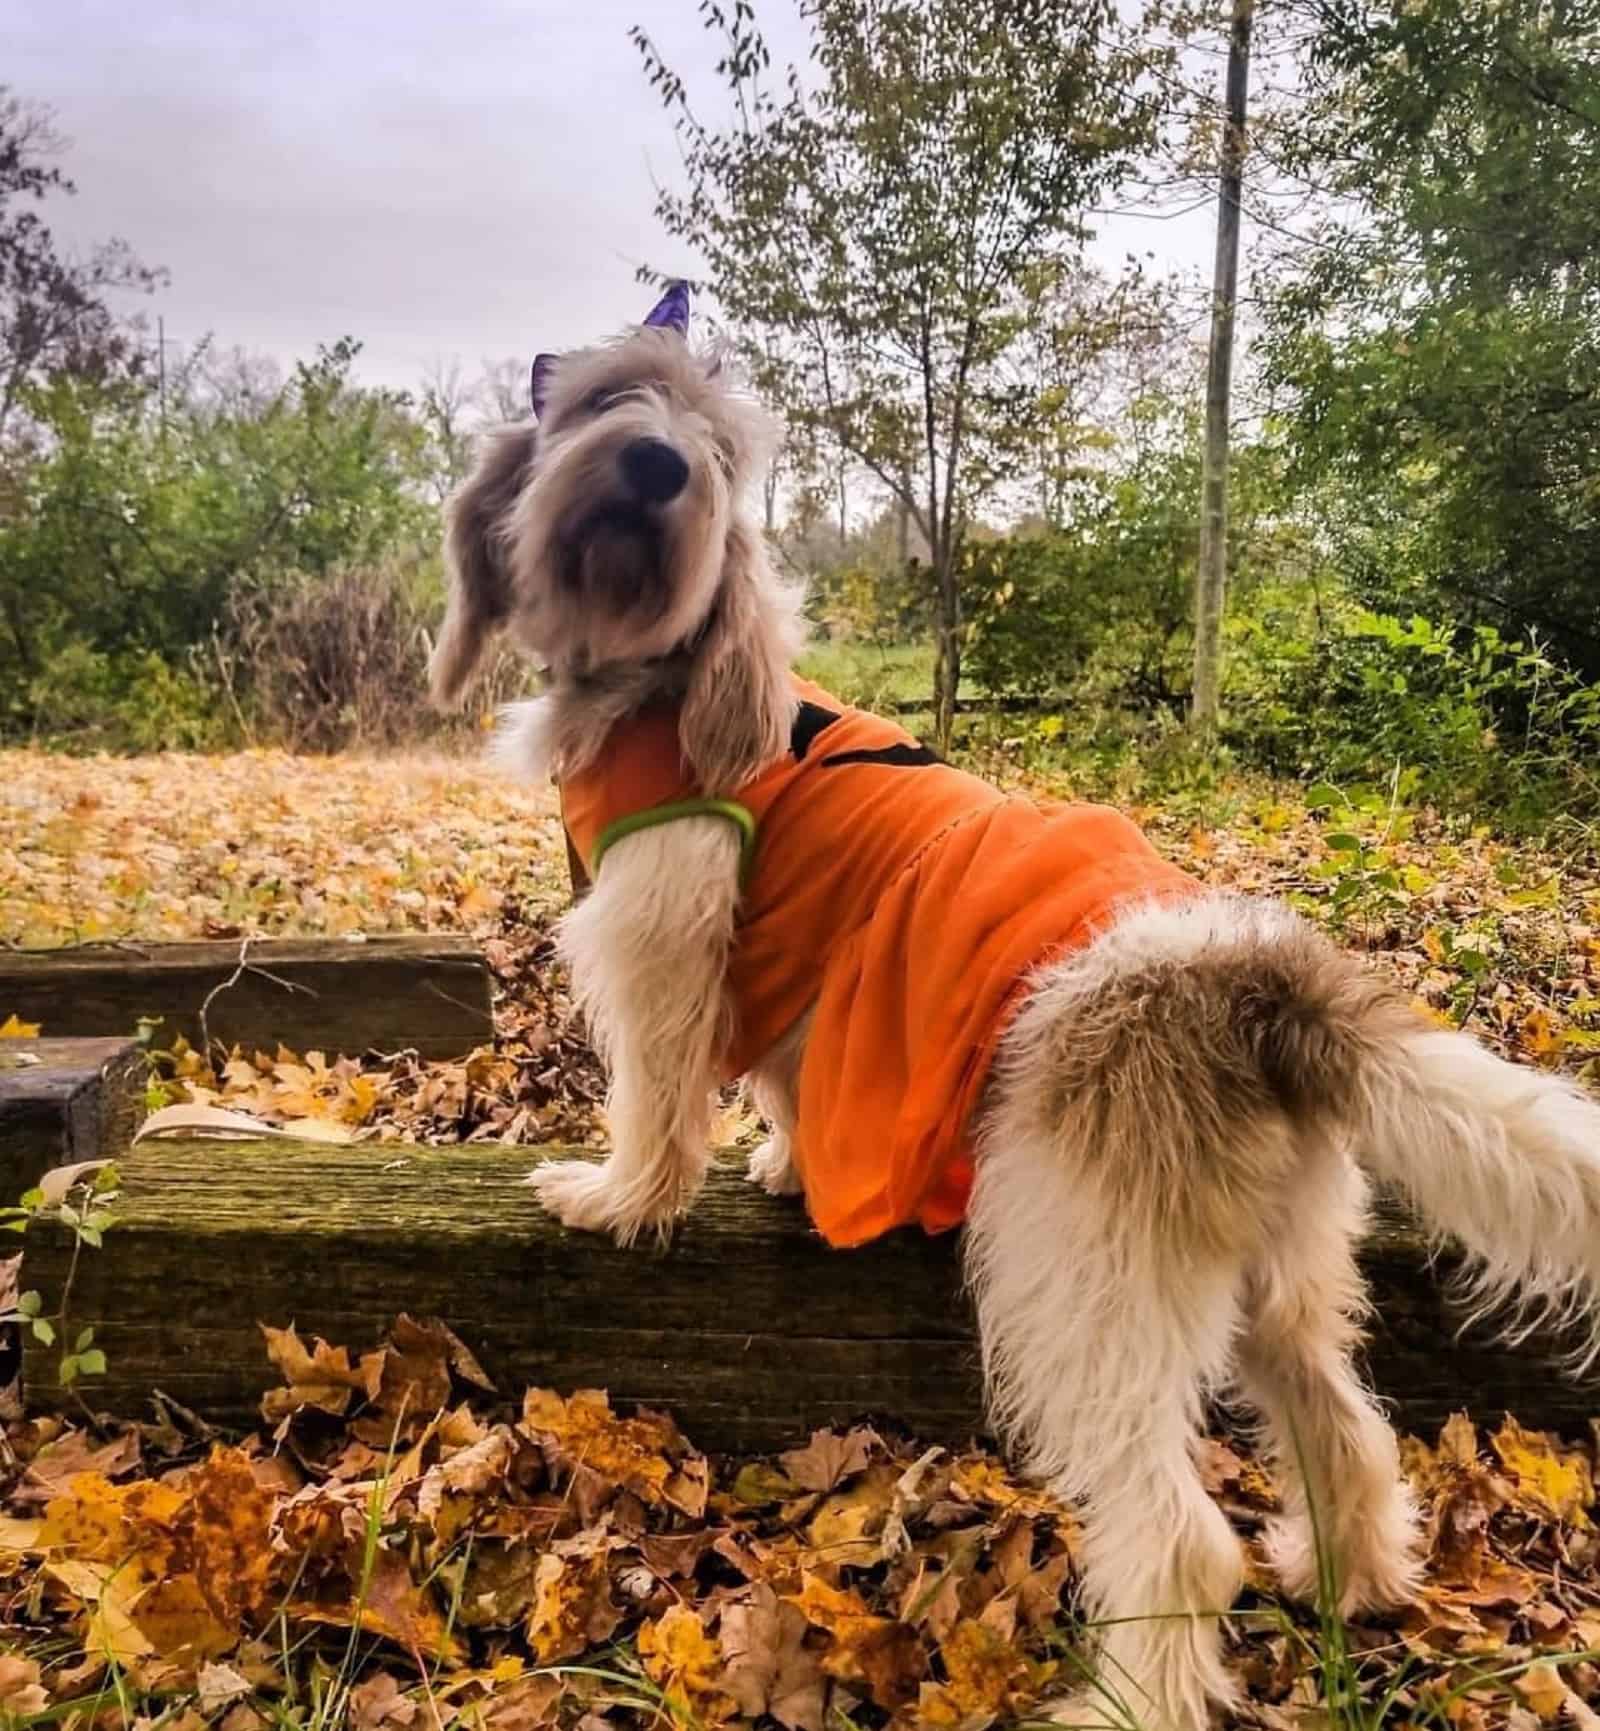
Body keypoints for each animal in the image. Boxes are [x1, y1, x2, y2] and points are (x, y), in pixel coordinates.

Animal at [431, 287, 1600, 1731]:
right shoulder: (796, 974)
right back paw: (1350, 1580)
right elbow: (788, 1080)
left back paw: (1127, 1699)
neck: (658, 671)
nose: (655, 468)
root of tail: (1258, 981)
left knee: (1177, 1534)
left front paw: (617, 1197)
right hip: (1280, 1266)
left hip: (1074, 1269)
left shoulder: (659, 933)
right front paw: (786, 1164)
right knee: (1345, 1427)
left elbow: (656, 1093)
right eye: (603, 403)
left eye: (712, 444)